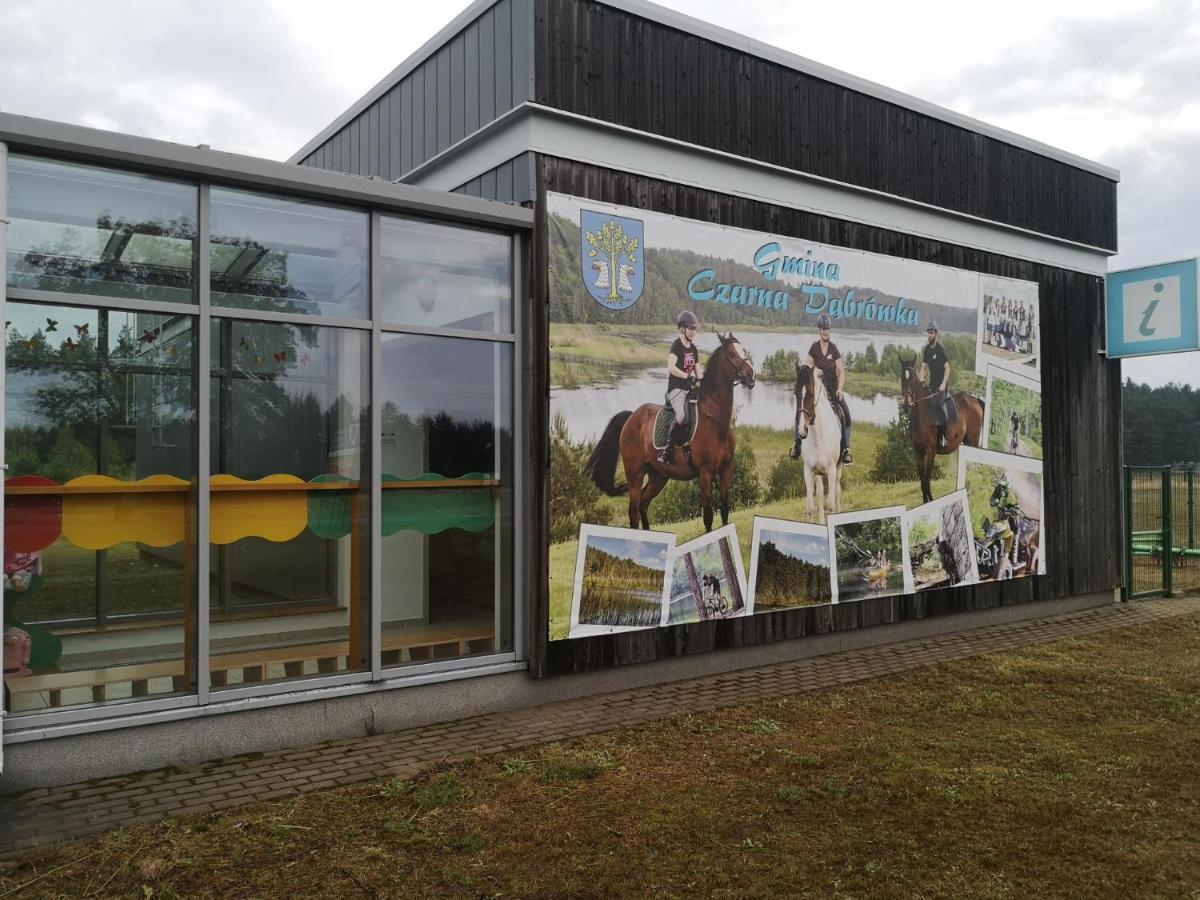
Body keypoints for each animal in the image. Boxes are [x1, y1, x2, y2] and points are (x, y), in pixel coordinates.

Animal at [585, 338, 753, 535]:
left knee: (643, 504)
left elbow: (725, 511)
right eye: (731, 354)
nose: (751, 375)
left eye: (744, 350)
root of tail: (632, 416)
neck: (714, 420)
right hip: (635, 473)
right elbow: (708, 516)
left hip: (658, 476)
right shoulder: (705, 473)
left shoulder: (726, 469)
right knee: (633, 512)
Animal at [796, 364, 844, 525]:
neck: (818, 436)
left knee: (836, 492)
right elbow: (811, 506)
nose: (802, 431)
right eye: (795, 393)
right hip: (818, 473)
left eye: (810, 393)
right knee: (821, 494)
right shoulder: (808, 470)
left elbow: (831, 504)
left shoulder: (831, 469)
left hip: (838, 469)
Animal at [902, 355, 984, 504]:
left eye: (912, 378)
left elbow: (927, 478)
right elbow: (922, 479)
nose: (907, 403)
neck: (922, 416)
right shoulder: (917, 452)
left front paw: (931, 500)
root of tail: (975, 400)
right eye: (901, 377)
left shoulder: (931, 451)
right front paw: (925, 501)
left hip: (973, 440)